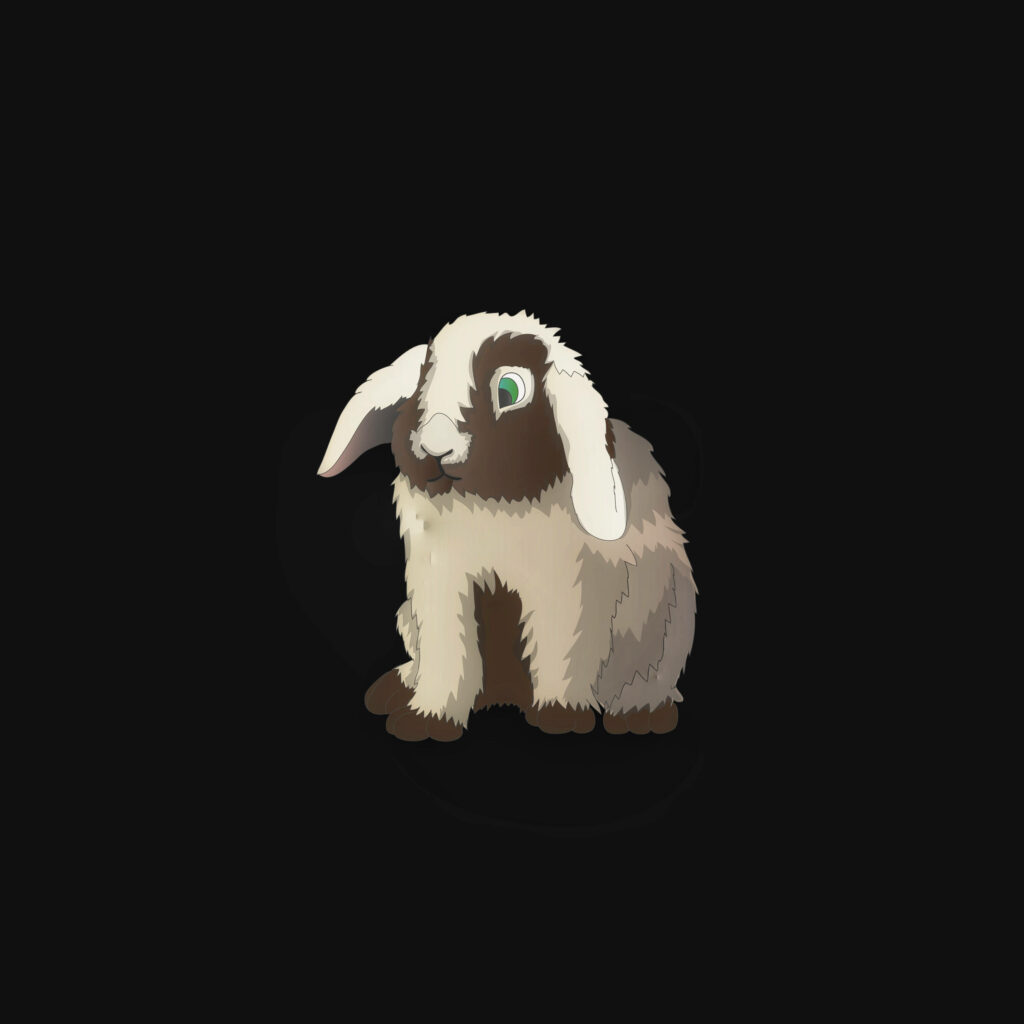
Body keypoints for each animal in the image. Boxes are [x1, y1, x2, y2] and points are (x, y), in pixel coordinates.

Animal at [317, 311, 697, 741]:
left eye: (509, 389)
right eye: (422, 382)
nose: (434, 450)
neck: (491, 506)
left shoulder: (568, 590)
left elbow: (561, 649)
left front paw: (561, 717)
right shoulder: (439, 582)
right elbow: (447, 649)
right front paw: (427, 721)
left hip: (670, 619)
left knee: (647, 676)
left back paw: (642, 716)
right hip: (407, 615)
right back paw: (395, 687)